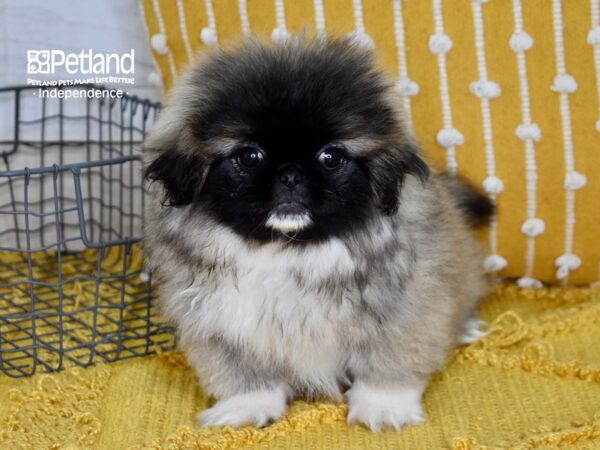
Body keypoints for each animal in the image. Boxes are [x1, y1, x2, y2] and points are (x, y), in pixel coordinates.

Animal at [142, 37, 492, 432]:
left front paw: (383, 406)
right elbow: (245, 377)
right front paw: (248, 405)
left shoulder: (407, 310)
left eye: (331, 157)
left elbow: (388, 364)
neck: (286, 250)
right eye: (249, 156)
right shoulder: (217, 326)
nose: (291, 174)